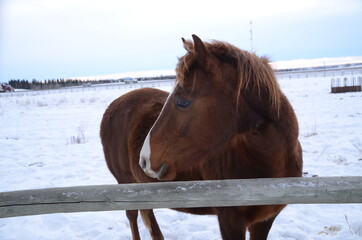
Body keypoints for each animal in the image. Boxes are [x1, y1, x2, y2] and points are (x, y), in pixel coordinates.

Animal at [100, 35, 302, 240]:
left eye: (182, 102)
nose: (144, 160)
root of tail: (113, 106)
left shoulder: (265, 221)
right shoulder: (230, 221)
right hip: (125, 183)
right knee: (132, 216)